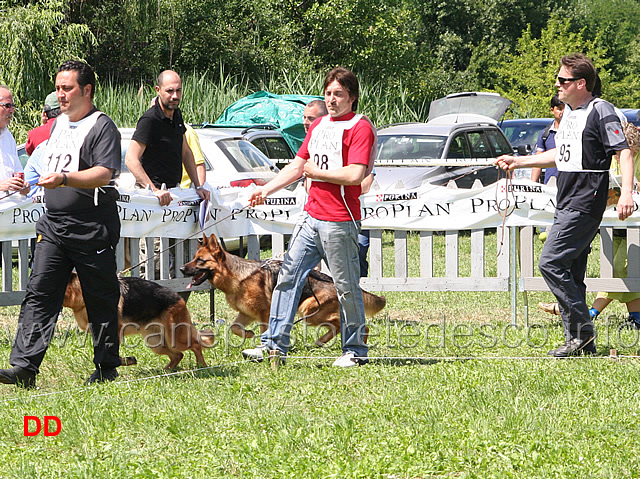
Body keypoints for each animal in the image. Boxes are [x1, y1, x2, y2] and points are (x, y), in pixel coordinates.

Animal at [64, 272, 215, 370]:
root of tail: (179, 298)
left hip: (175, 337)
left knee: (195, 344)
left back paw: (202, 366)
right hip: (155, 342)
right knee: (178, 355)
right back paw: (166, 370)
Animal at [179, 232, 384, 344]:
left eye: (200, 260)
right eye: (194, 258)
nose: (181, 269)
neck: (237, 276)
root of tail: (332, 281)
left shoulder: (264, 313)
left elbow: (263, 330)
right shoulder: (246, 313)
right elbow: (234, 328)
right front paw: (249, 334)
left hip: (309, 311)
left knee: (344, 324)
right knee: (340, 325)